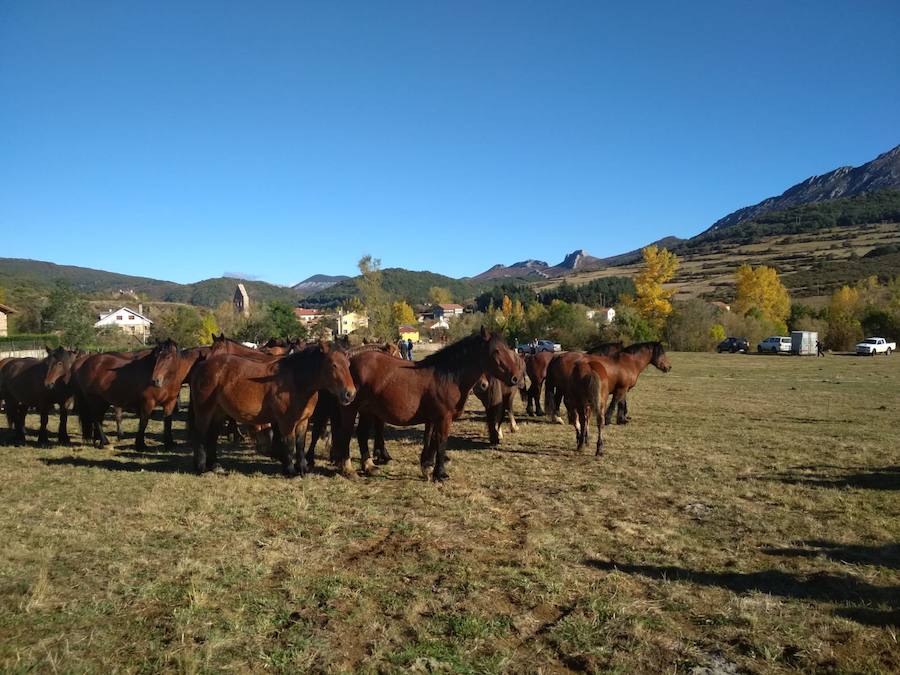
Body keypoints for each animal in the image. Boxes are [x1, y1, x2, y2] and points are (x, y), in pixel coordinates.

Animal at [190, 344, 356, 476]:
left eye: (348, 364)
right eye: (333, 364)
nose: (350, 393)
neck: (295, 381)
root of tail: (202, 366)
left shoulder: (303, 421)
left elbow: (300, 445)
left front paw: (303, 469)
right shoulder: (286, 422)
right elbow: (289, 445)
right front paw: (290, 471)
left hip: (218, 412)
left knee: (212, 436)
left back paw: (215, 465)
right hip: (204, 411)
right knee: (200, 435)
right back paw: (201, 468)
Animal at [334, 328, 520, 480]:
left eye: (509, 349)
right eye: (496, 351)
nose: (515, 378)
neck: (447, 377)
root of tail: (350, 361)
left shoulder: (433, 418)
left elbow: (431, 440)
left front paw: (427, 467)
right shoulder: (444, 418)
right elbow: (441, 441)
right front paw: (440, 473)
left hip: (367, 410)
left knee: (362, 434)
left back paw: (369, 466)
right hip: (351, 409)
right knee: (346, 434)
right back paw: (348, 469)